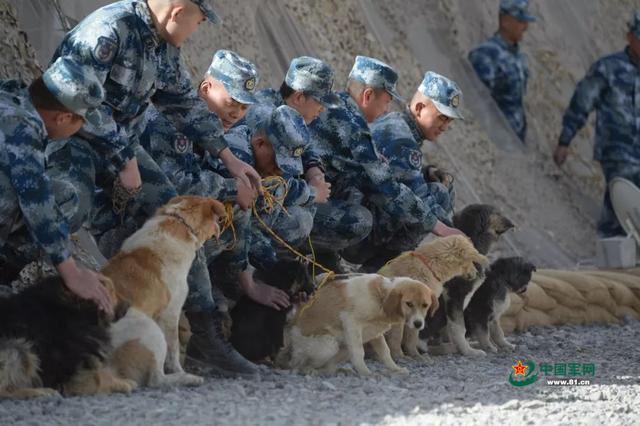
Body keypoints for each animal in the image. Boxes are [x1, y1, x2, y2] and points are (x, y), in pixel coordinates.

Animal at [0, 274, 131, 398]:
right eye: (111, 291)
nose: (128, 304)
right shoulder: (72, 373)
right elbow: (100, 376)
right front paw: (122, 383)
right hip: (18, 347)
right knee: (4, 391)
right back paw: (38, 392)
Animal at [102, 196, 225, 390]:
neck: (180, 223)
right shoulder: (171, 313)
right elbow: (173, 349)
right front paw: (179, 370)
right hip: (148, 327)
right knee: (155, 380)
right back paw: (187, 378)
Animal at [278, 272, 436, 376]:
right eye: (409, 304)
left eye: (425, 305)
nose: (418, 324)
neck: (380, 297)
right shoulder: (351, 322)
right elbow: (360, 353)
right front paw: (365, 372)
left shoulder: (375, 333)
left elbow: (386, 352)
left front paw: (395, 369)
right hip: (329, 345)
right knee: (297, 365)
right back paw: (309, 370)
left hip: (345, 347)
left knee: (327, 366)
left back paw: (338, 370)